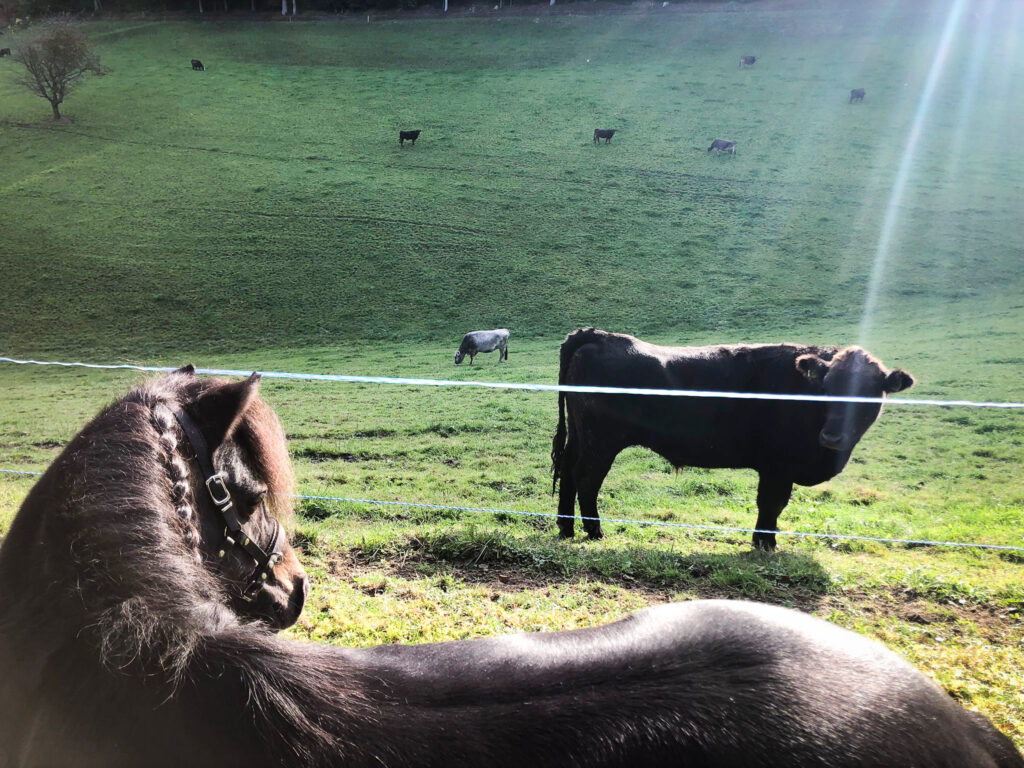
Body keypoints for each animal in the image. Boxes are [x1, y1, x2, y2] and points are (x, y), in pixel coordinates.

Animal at [548, 329, 917, 548]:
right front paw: (765, 544)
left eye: (870, 392)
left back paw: (566, 528)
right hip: (600, 443)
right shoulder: (777, 466)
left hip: (581, 438)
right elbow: (771, 504)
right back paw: (594, 531)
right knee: (586, 479)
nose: (832, 436)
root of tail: (598, 335)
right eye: (827, 387)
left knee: (568, 474)